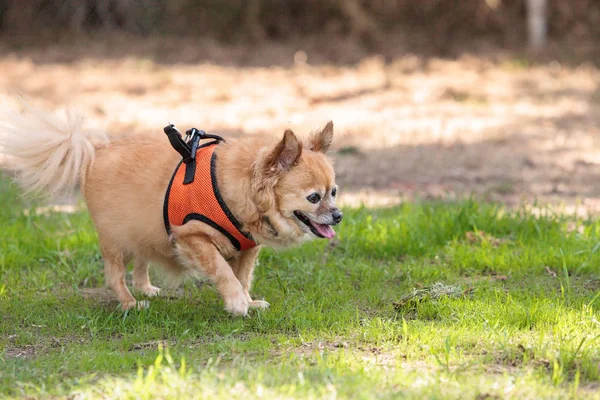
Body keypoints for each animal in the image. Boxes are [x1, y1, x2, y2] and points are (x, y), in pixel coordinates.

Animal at [0, 104, 340, 318]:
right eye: (314, 198)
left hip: (142, 233)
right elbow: (223, 270)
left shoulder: (247, 249)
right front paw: (236, 303)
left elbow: (243, 276)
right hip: (117, 242)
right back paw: (130, 304)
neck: (243, 188)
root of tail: (95, 152)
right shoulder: (192, 237)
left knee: (140, 266)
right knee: (115, 275)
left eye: (334, 192)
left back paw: (147, 290)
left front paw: (248, 300)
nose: (338, 216)